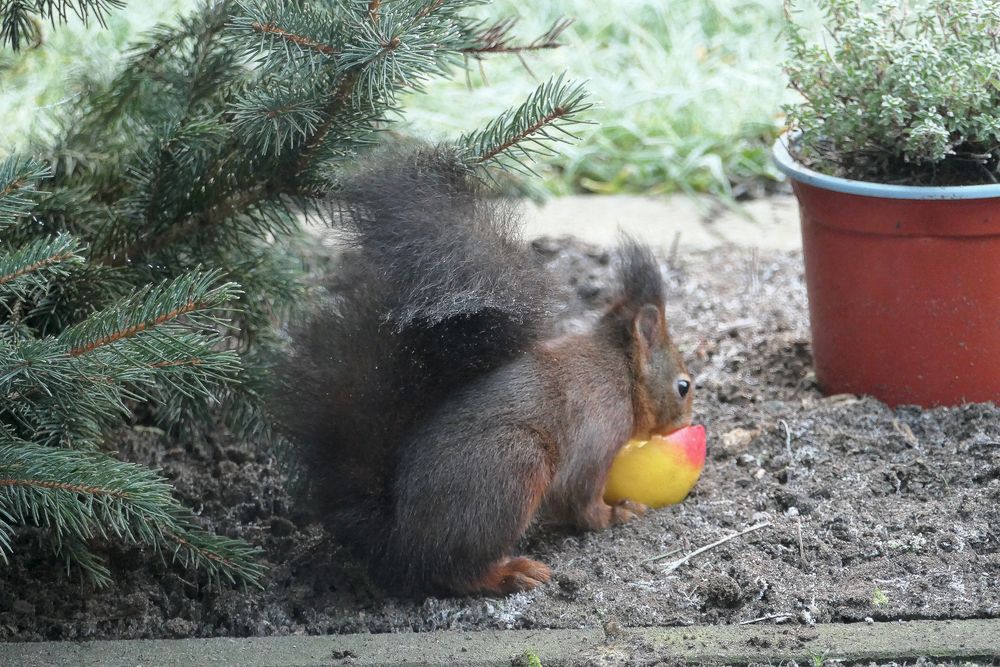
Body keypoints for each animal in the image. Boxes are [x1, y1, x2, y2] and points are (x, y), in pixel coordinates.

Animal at [274, 149, 696, 596]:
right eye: (684, 386)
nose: (688, 421)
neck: (620, 372)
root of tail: (401, 539)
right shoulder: (597, 437)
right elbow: (581, 502)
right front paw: (617, 513)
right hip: (513, 468)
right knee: (455, 570)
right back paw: (510, 573)